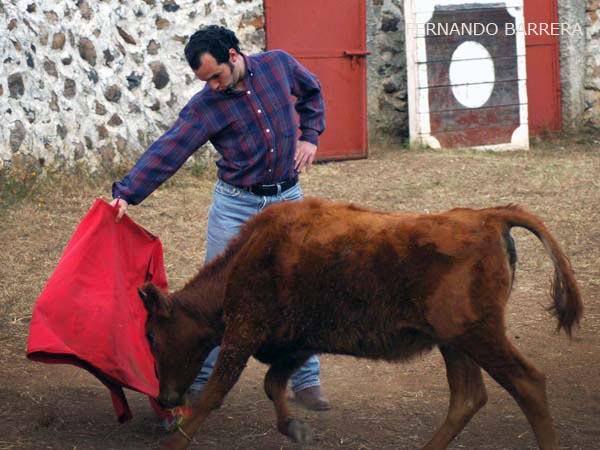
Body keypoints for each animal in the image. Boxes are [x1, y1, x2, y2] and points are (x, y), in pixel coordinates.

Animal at [139, 200, 580, 450]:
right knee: (467, 397)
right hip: (455, 342)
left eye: (152, 336)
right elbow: (272, 384)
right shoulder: (298, 343)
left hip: (479, 335)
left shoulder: (244, 333)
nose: (164, 397)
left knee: (527, 384)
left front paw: (174, 443)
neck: (250, 254)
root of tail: (489, 218)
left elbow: (215, 393)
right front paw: (296, 429)